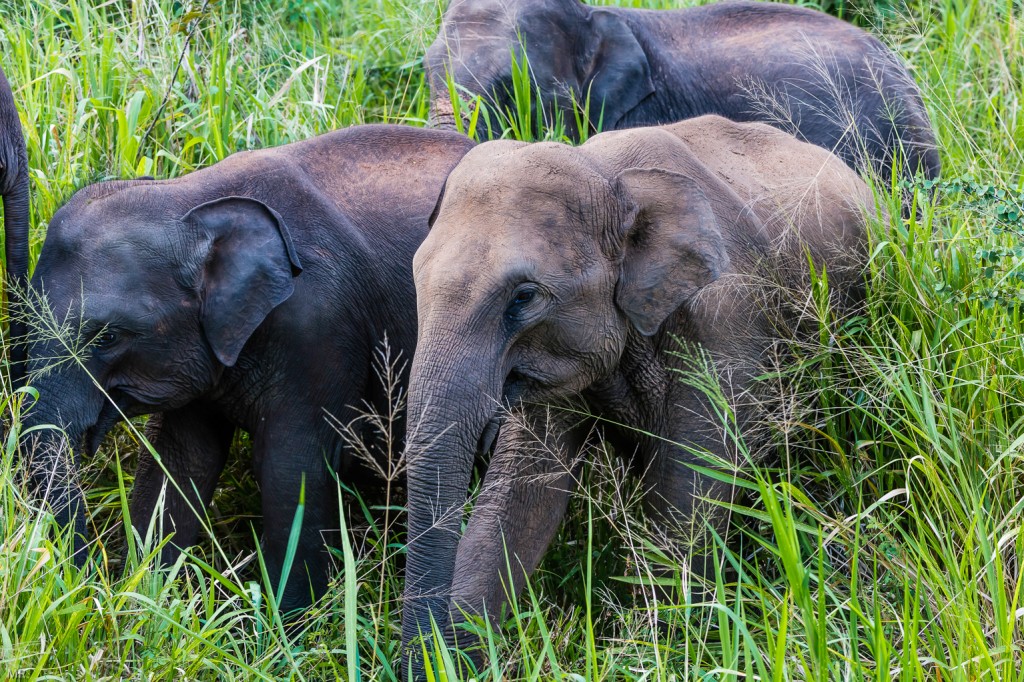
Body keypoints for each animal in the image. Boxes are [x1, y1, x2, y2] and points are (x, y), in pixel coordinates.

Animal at [18, 123, 475, 610]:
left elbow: (289, 470)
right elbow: (181, 461)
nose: (94, 583)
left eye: (107, 337)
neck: (189, 199)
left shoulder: (321, 333)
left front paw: (286, 622)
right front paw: (147, 596)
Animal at [397, 114, 872, 671]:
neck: (608, 179)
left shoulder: (726, 328)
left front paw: (662, 645)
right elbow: (522, 495)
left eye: (524, 297)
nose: (419, 658)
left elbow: (692, 491)